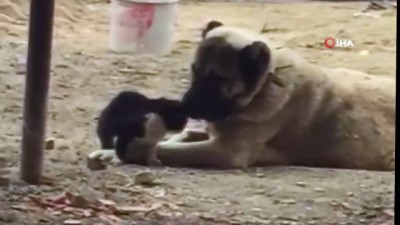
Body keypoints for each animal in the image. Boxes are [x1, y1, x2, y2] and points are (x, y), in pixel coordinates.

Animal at [90, 21, 394, 171]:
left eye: (217, 79)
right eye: (194, 70)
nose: (184, 106)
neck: (266, 85)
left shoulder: (224, 152)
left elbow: (166, 148)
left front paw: (118, 152)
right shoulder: (210, 133)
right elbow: (179, 137)